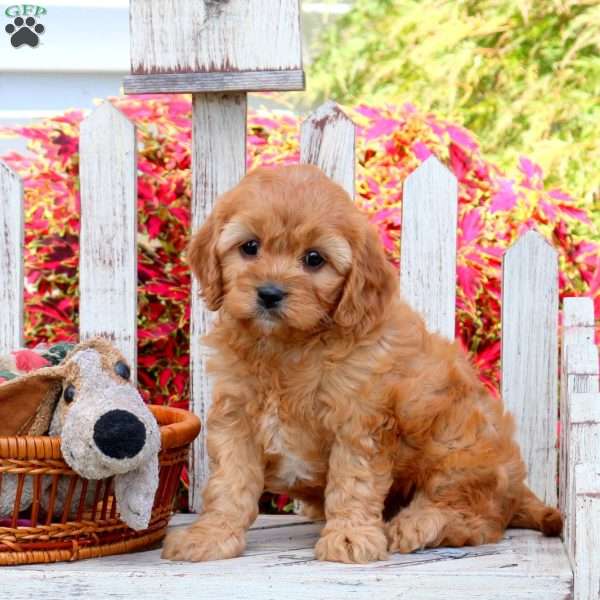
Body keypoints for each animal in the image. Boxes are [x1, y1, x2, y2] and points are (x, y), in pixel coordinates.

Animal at [161, 163, 564, 564]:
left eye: (314, 259)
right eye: (249, 247)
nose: (270, 293)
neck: (288, 346)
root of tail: (518, 487)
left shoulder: (360, 421)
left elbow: (353, 482)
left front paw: (349, 536)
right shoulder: (236, 417)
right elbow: (230, 483)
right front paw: (211, 535)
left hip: (460, 443)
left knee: (475, 517)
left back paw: (415, 524)